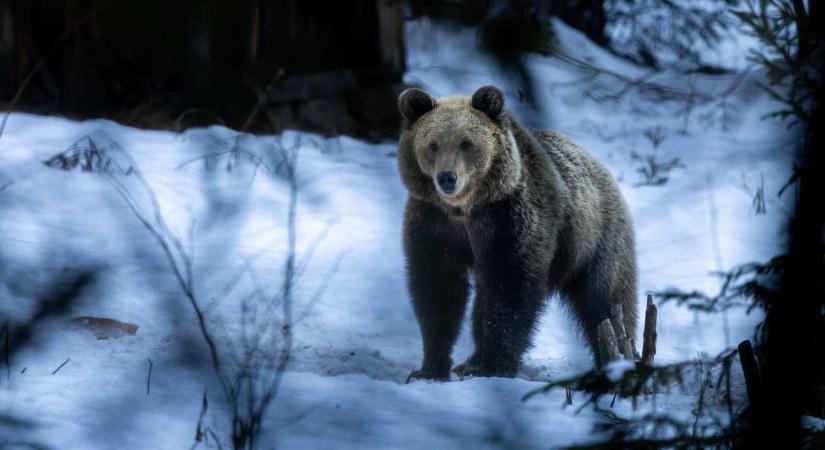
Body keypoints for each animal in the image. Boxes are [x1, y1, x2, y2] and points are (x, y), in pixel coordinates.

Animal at [400, 85, 636, 380]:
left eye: (466, 143)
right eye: (433, 144)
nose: (446, 177)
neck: (465, 209)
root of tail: (598, 164)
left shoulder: (510, 221)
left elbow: (511, 288)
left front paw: (493, 365)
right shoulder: (434, 223)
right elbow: (438, 288)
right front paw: (430, 368)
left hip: (596, 240)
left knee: (605, 303)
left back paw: (618, 358)